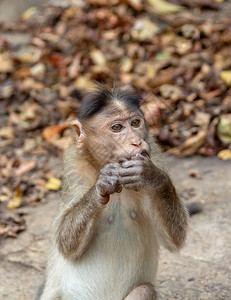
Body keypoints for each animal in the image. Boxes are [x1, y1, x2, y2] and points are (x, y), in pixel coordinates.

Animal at [39, 84, 188, 300]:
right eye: (117, 128)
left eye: (135, 123)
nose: (136, 141)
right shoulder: (73, 164)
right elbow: (64, 242)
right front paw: (102, 185)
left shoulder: (155, 153)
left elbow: (174, 239)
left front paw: (151, 177)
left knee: (144, 289)